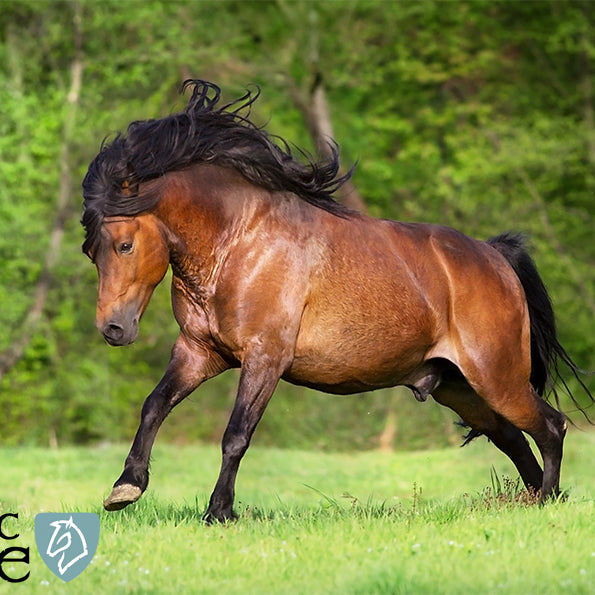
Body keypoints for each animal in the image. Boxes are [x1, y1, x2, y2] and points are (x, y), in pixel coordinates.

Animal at [81, 79, 592, 520]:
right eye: (91, 250)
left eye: (124, 244)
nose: (113, 329)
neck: (239, 242)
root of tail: (495, 257)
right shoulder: (198, 352)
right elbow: (154, 405)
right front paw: (126, 487)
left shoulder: (265, 358)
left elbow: (236, 435)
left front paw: (218, 512)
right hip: (460, 388)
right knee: (512, 437)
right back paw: (535, 501)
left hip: (497, 378)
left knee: (551, 426)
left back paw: (548, 501)